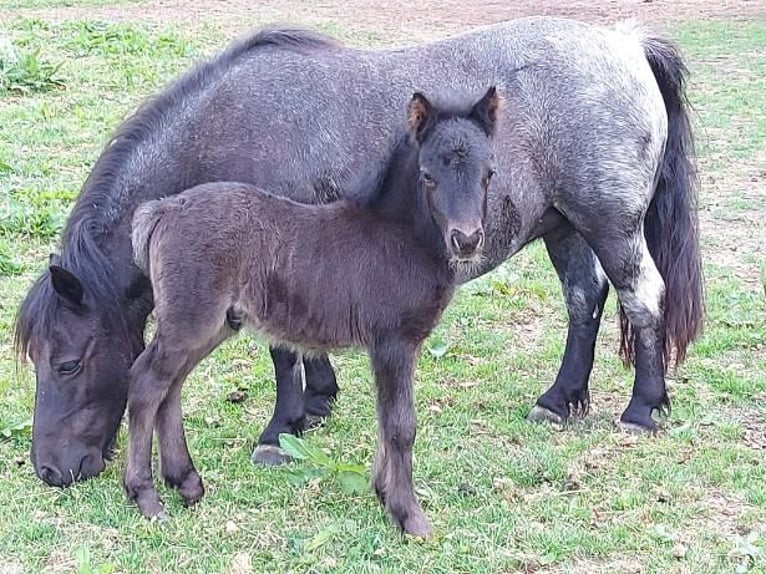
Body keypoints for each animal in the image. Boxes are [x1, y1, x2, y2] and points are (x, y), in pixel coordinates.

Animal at [124, 88, 504, 536]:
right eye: (428, 175)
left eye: (489, 173)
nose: (467, 239)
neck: (399, 238)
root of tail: (165, 209)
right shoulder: (394, 342)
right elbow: (400, 426)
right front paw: (409, 516)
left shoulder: (389, 348)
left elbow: (384, 418)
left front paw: (383, 494)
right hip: (191, 319)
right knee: (147, 382)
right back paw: (145, 495)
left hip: (211, 324)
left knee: (172, 385)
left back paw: (185, 481)